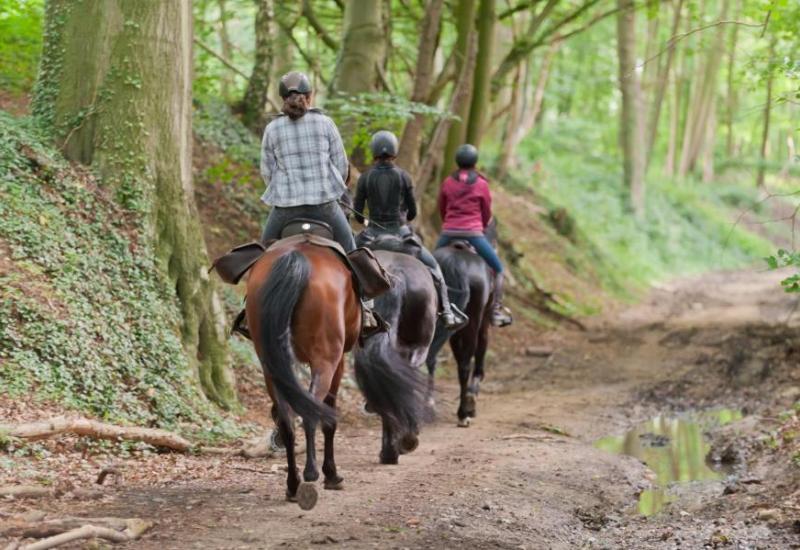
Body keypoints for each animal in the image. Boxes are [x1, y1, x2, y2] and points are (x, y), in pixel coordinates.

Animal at [245, 239, 422, 512]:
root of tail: (296, 258)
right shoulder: (338, 362)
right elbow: (329, 418)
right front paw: (332, 474)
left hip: (270, 365)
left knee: (286, 418)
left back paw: (293, 485)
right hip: (326, 360)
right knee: (311, 410)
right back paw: (311, 476)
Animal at [422, 222, 496, 430]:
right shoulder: (483, 323)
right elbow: (479, 354)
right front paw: (471, 400)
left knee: (429, 357)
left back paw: (428, 405)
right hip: (473, 320)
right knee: (465, 364)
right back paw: (464, 413)